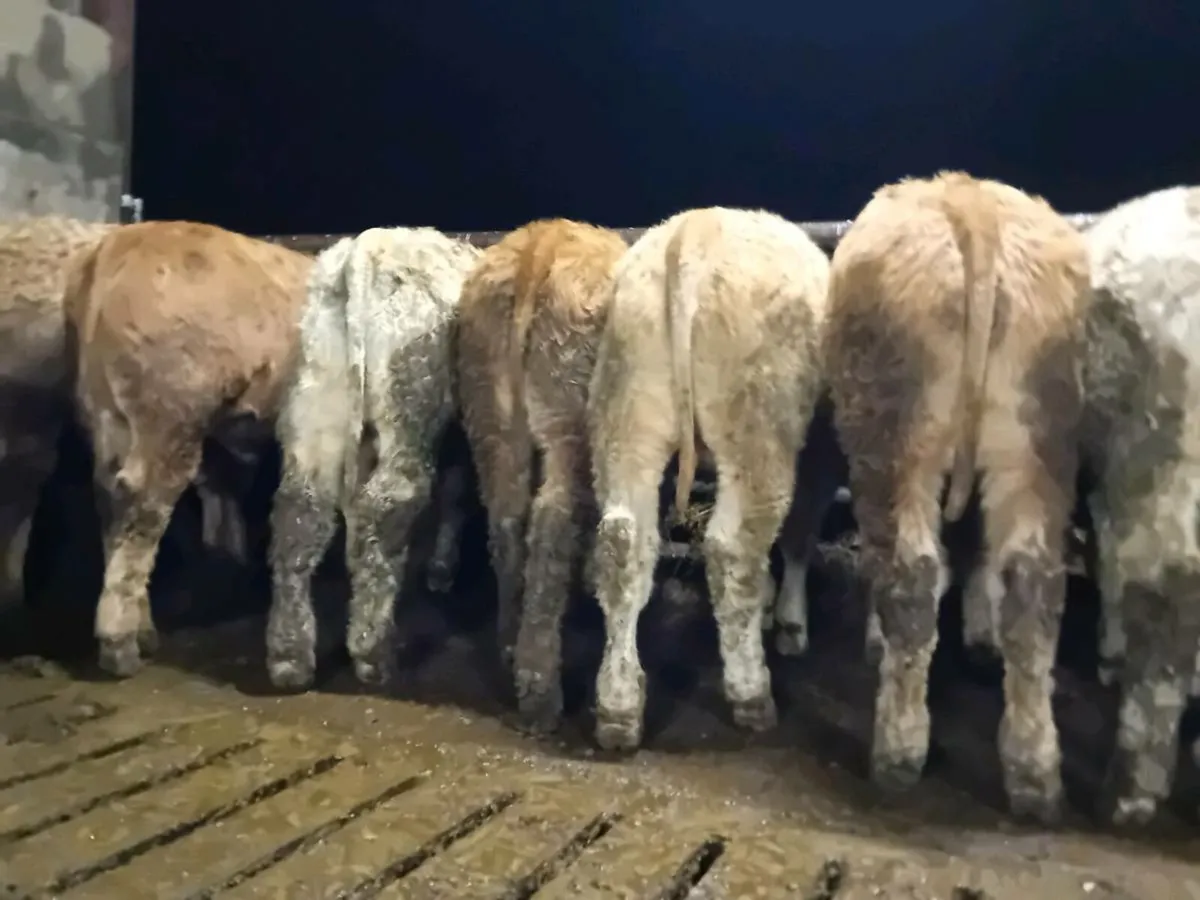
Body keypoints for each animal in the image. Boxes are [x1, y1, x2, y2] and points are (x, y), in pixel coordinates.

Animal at [64, 220, 314, 677]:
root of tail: (116, 250)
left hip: (106, 415)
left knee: (112, 506)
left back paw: (142, 628)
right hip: (170, 418)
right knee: (144, 510)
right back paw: (120, 642)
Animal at [266, 227, 480, 691]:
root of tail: (371, 246)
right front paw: (443, 570)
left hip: (318, 405)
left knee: (300, 513)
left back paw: (289, 657)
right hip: (407, 411)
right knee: (388, 504)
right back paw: (373, 653)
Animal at [456, 218, 628, 732]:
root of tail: (542, 240)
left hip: (491, 413)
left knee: (507, 520)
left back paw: (511, 648)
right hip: (569, 416)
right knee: (554, 517)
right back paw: (540, 690)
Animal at [587, 206, 835, 751]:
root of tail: (696, 230)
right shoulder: (818, 456)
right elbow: (800, 536)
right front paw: (789, 621)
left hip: (628, 418)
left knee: (624, 544)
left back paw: (619, 705)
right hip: (760, 430)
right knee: (732, 549)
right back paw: (752, 692)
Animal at [824, 171, 1090, 823]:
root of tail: (970, 199)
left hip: (894, 438)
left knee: (909, 574)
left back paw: (897, 750)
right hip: (1037, 442)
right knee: (1032, 583)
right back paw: (1034, 773)